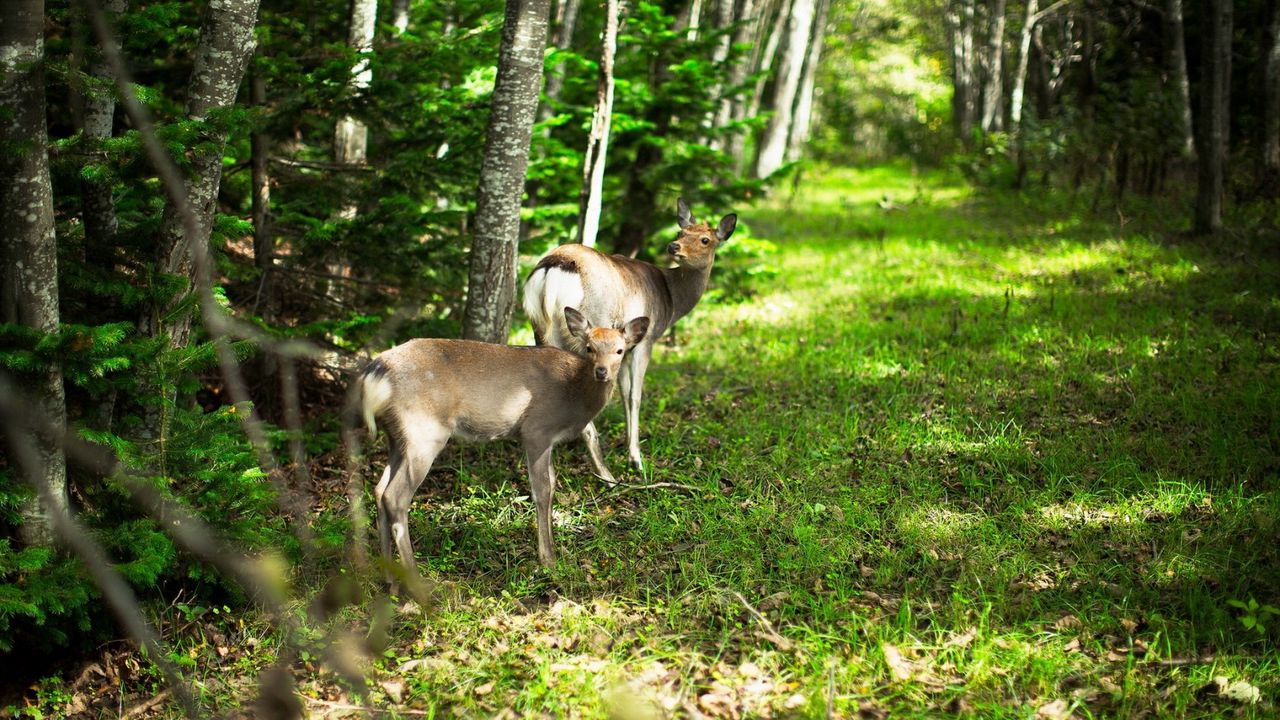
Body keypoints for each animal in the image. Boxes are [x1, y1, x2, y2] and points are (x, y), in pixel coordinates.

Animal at [358, 304, 650, 573]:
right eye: (589, 348)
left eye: (619, 350)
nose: (601, 371)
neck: (574, 395)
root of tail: (375, 372)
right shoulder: (537, 429)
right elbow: (543, 490)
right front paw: (548, 559)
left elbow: (552, 485)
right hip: (424, 431)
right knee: (395, 496)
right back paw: (415, 580)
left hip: (397, 437)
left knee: (379, 489)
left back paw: (389, 576)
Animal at [522, 196, 742, 479]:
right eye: (681, 232)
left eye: (705, 239)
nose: (674, 246)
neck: (671, 299)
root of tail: (553, 269)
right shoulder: (644, 341)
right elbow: (634, 395)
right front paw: (636, 458)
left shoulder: (624, 349)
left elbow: (626, 393)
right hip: (592, 328)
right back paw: (606, 474)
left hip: (540, 328)